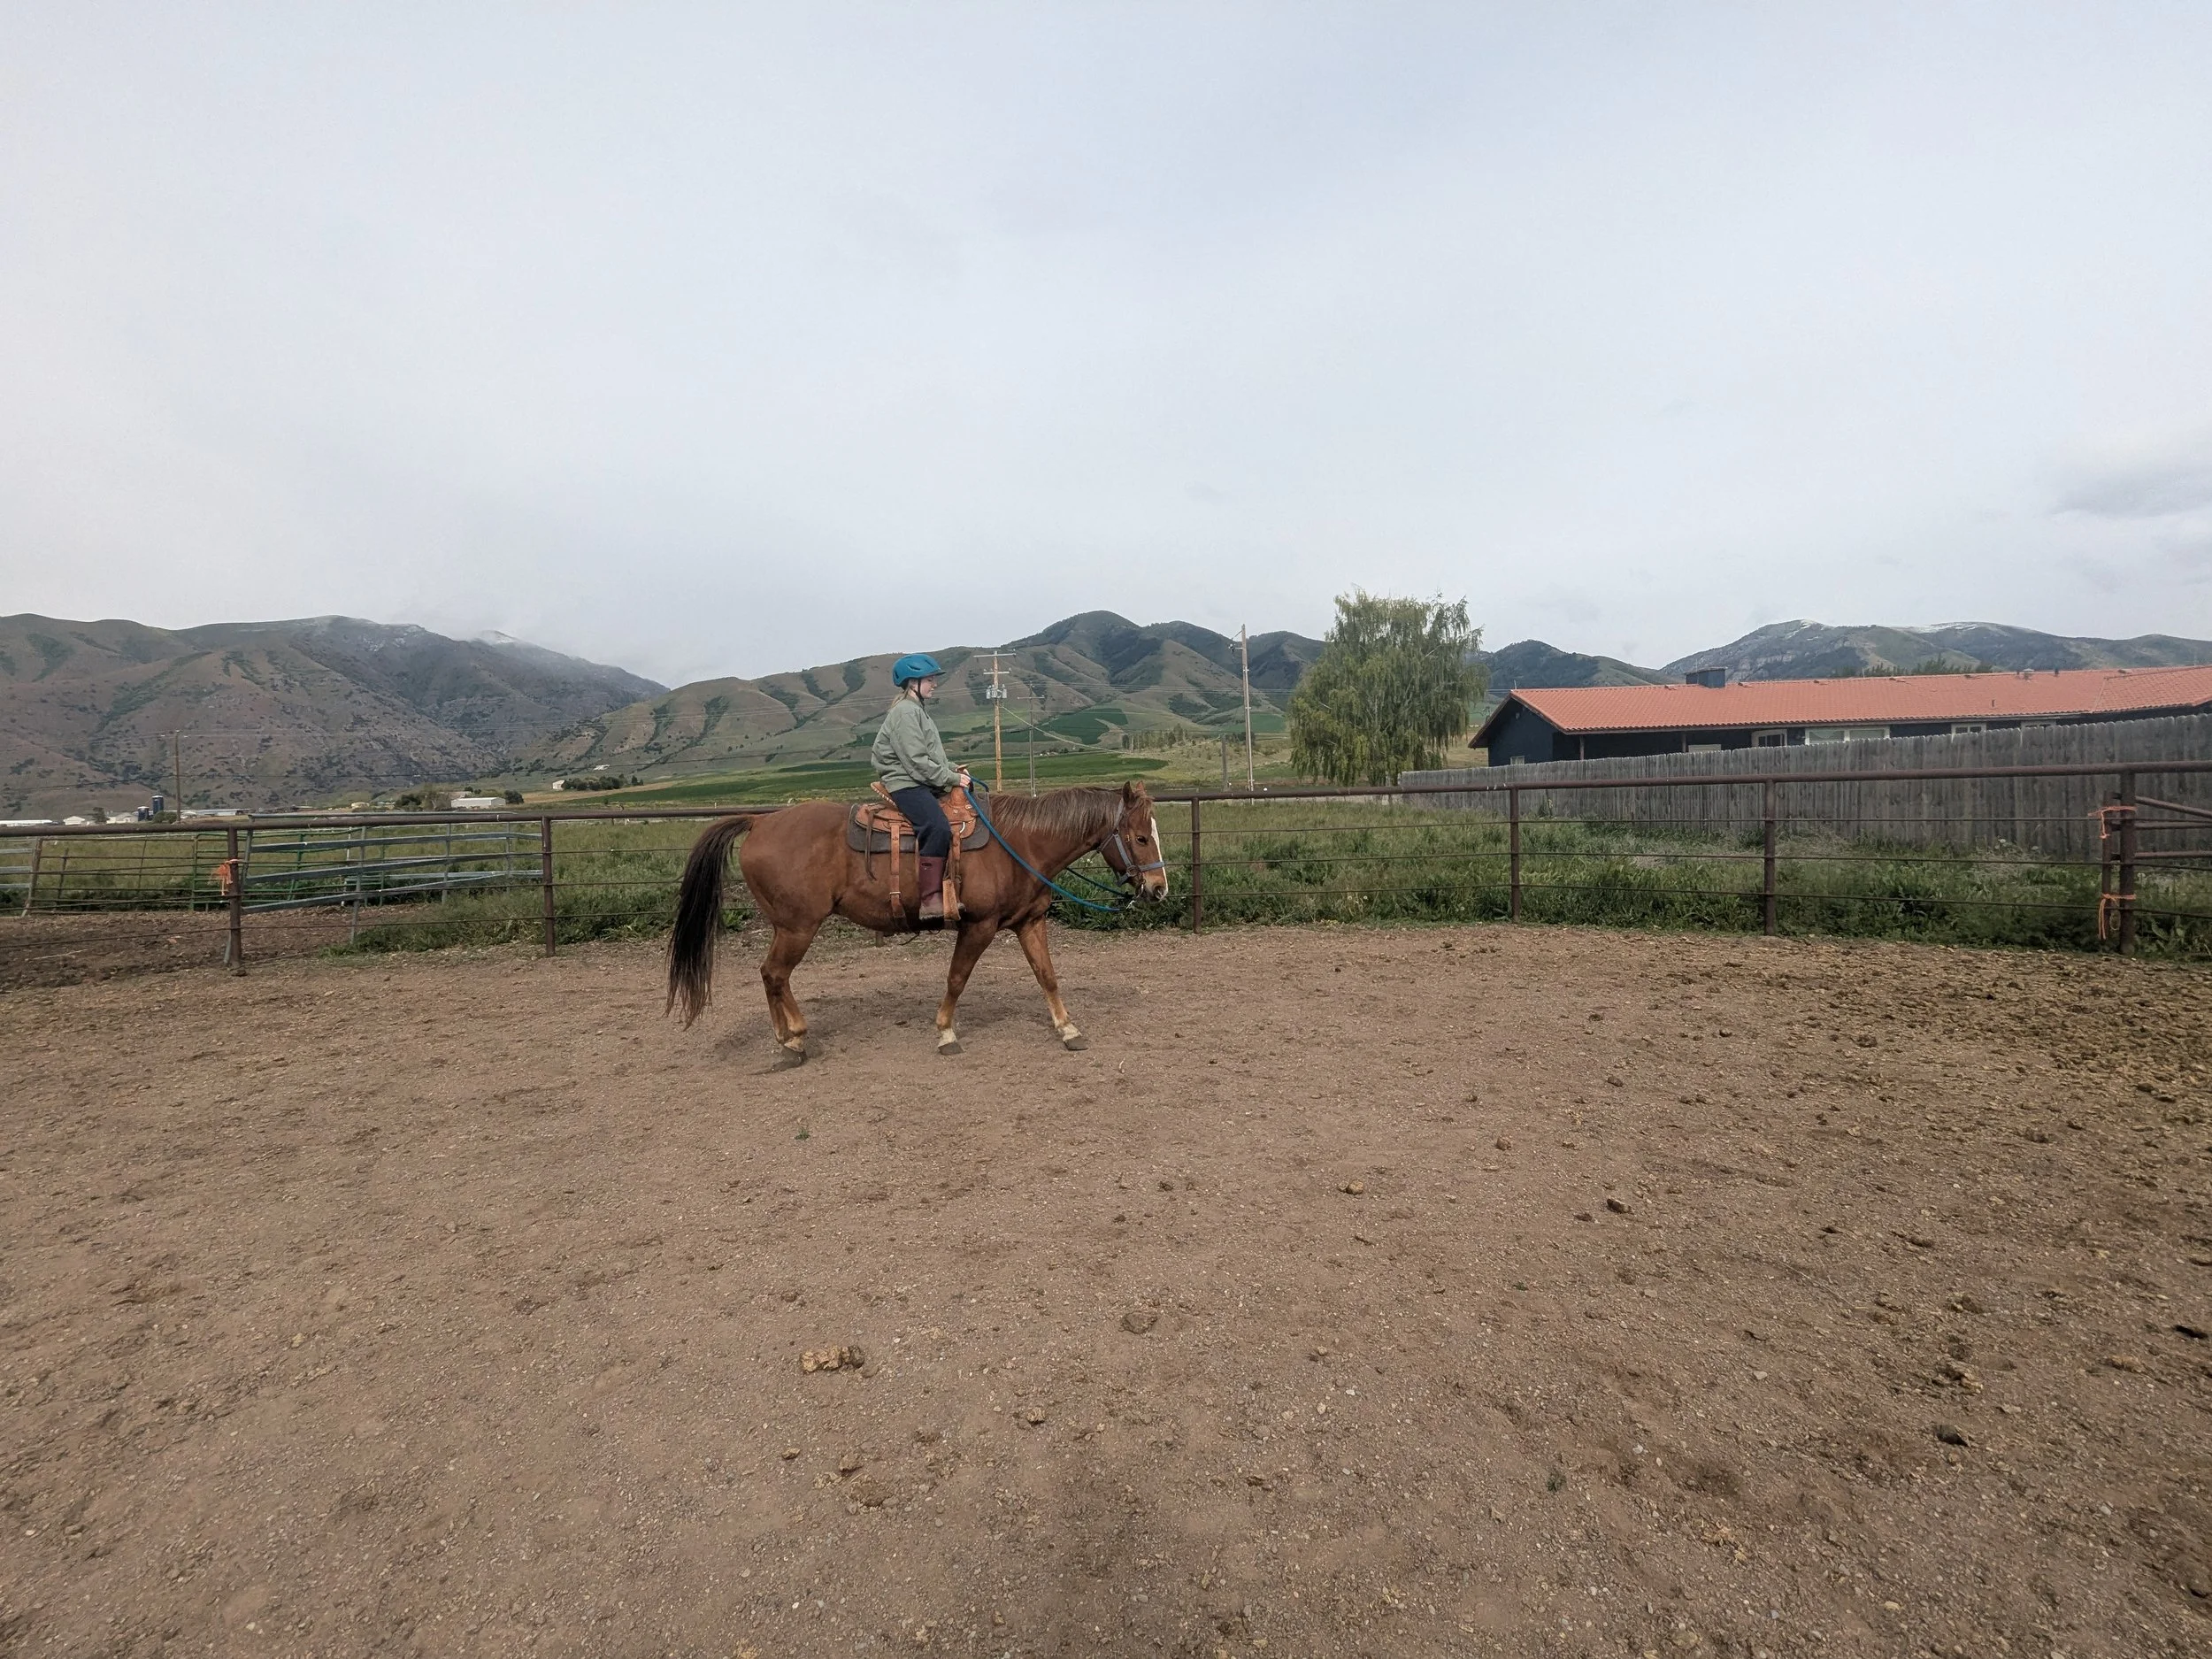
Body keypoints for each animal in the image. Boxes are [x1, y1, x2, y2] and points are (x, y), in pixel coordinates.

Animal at [666, 782, 1169, 1063]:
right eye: (1141, 837)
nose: (1159, 888)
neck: (1021, 844)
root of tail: (758, 822)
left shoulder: (1029, 922)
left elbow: (1047, 976)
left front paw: (1068, 1030)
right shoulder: (978, 926)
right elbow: (957, 979)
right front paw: (945, 1033)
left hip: (789, 928)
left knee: (774, 976)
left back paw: (792, 1036)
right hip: (797, 927)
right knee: (773, 974)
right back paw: (791, 1042)